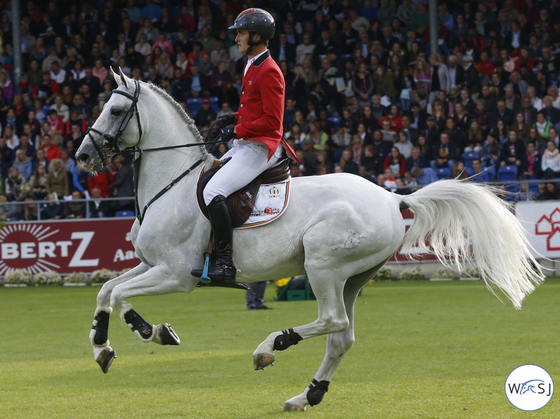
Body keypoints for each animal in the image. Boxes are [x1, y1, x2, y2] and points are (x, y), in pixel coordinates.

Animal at [75, 69, 544, 414]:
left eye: (116, 109)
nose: (81, 157)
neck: (172, 183)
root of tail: (391, 198)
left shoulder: (176, 274)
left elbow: (120, 297)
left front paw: (151, 331)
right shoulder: (150, 264)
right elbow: (105, 290)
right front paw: (102, 347)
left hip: (323, 265)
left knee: (331, 321)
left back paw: (271, 347)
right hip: (352, 277)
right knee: (342, 337)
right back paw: (308, 394)